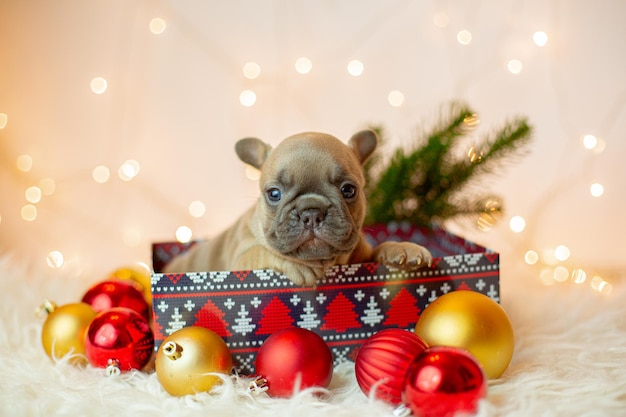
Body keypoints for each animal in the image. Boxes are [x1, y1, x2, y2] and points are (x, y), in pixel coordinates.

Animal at [163, 130, 432, 286]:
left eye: (349, 190)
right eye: (274, 194)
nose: (311, 212)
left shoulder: (363, 256)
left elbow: (379, 249)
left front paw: (403, 248)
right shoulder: (240, 259)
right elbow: (262, 252)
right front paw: (298, 266)